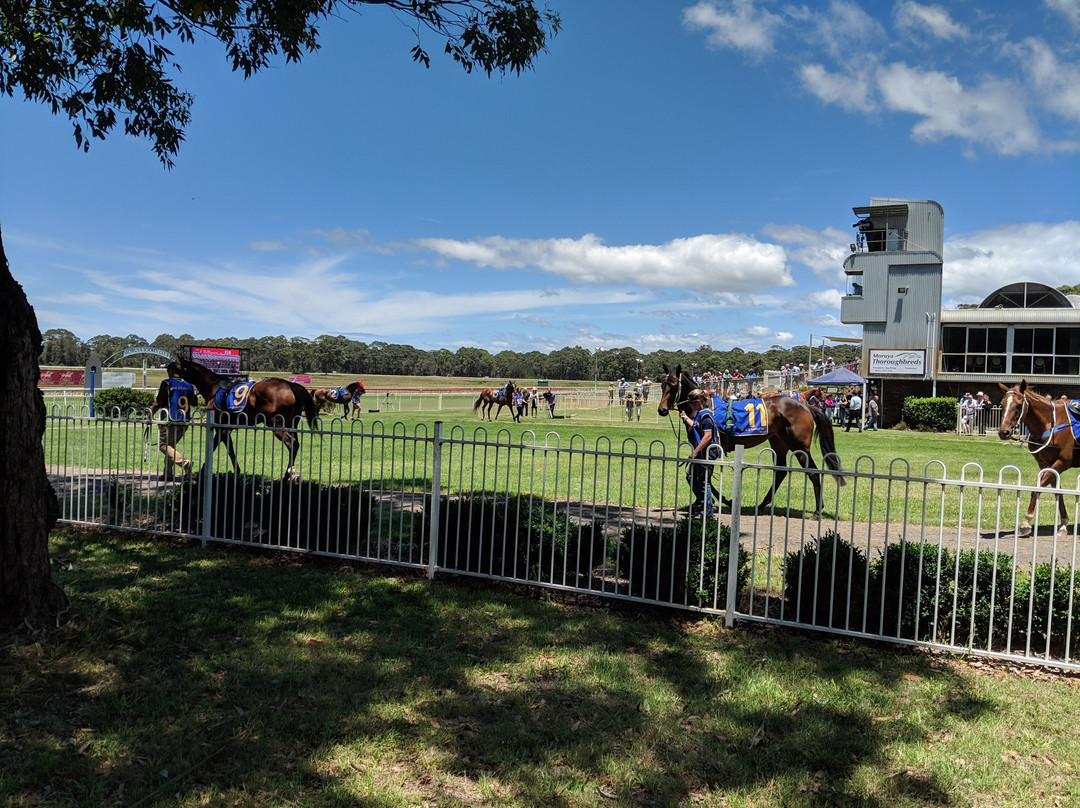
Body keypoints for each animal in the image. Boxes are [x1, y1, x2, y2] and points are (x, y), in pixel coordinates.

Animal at [174, 354, 317, 479]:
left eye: (178, 366)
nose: (171, 372)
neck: (213, 387)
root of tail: (292, 385)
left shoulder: (222, 427)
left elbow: (228, 448)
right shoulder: (223, 427)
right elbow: (220, 445)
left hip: (276, 424)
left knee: (292, 444)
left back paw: (286, 476)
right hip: (291, 424)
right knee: (296, 444)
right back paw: (288, 475)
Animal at [656, 365, 842, 514]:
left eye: (673, 385)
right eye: (663, 385)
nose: (662, 410)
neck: (704, 407)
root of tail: (806, 406)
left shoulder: (706, 445)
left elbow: (703, 475)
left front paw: (714, 501)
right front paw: (701, 502)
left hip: (799, 446)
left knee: (813, 473)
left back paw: (817, 510)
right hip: (779, 442)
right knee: (781, 471)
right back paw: (762, 504)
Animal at [993, 380, 1080, 535]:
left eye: (1019, 405)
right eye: (1002, 404)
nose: (1004, 432)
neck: (1051, 423)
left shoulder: (1062, 462)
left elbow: (1037, 488)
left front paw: (1025, 523)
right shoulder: (1045, 464)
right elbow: (1058, 491)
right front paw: (1063, 523)